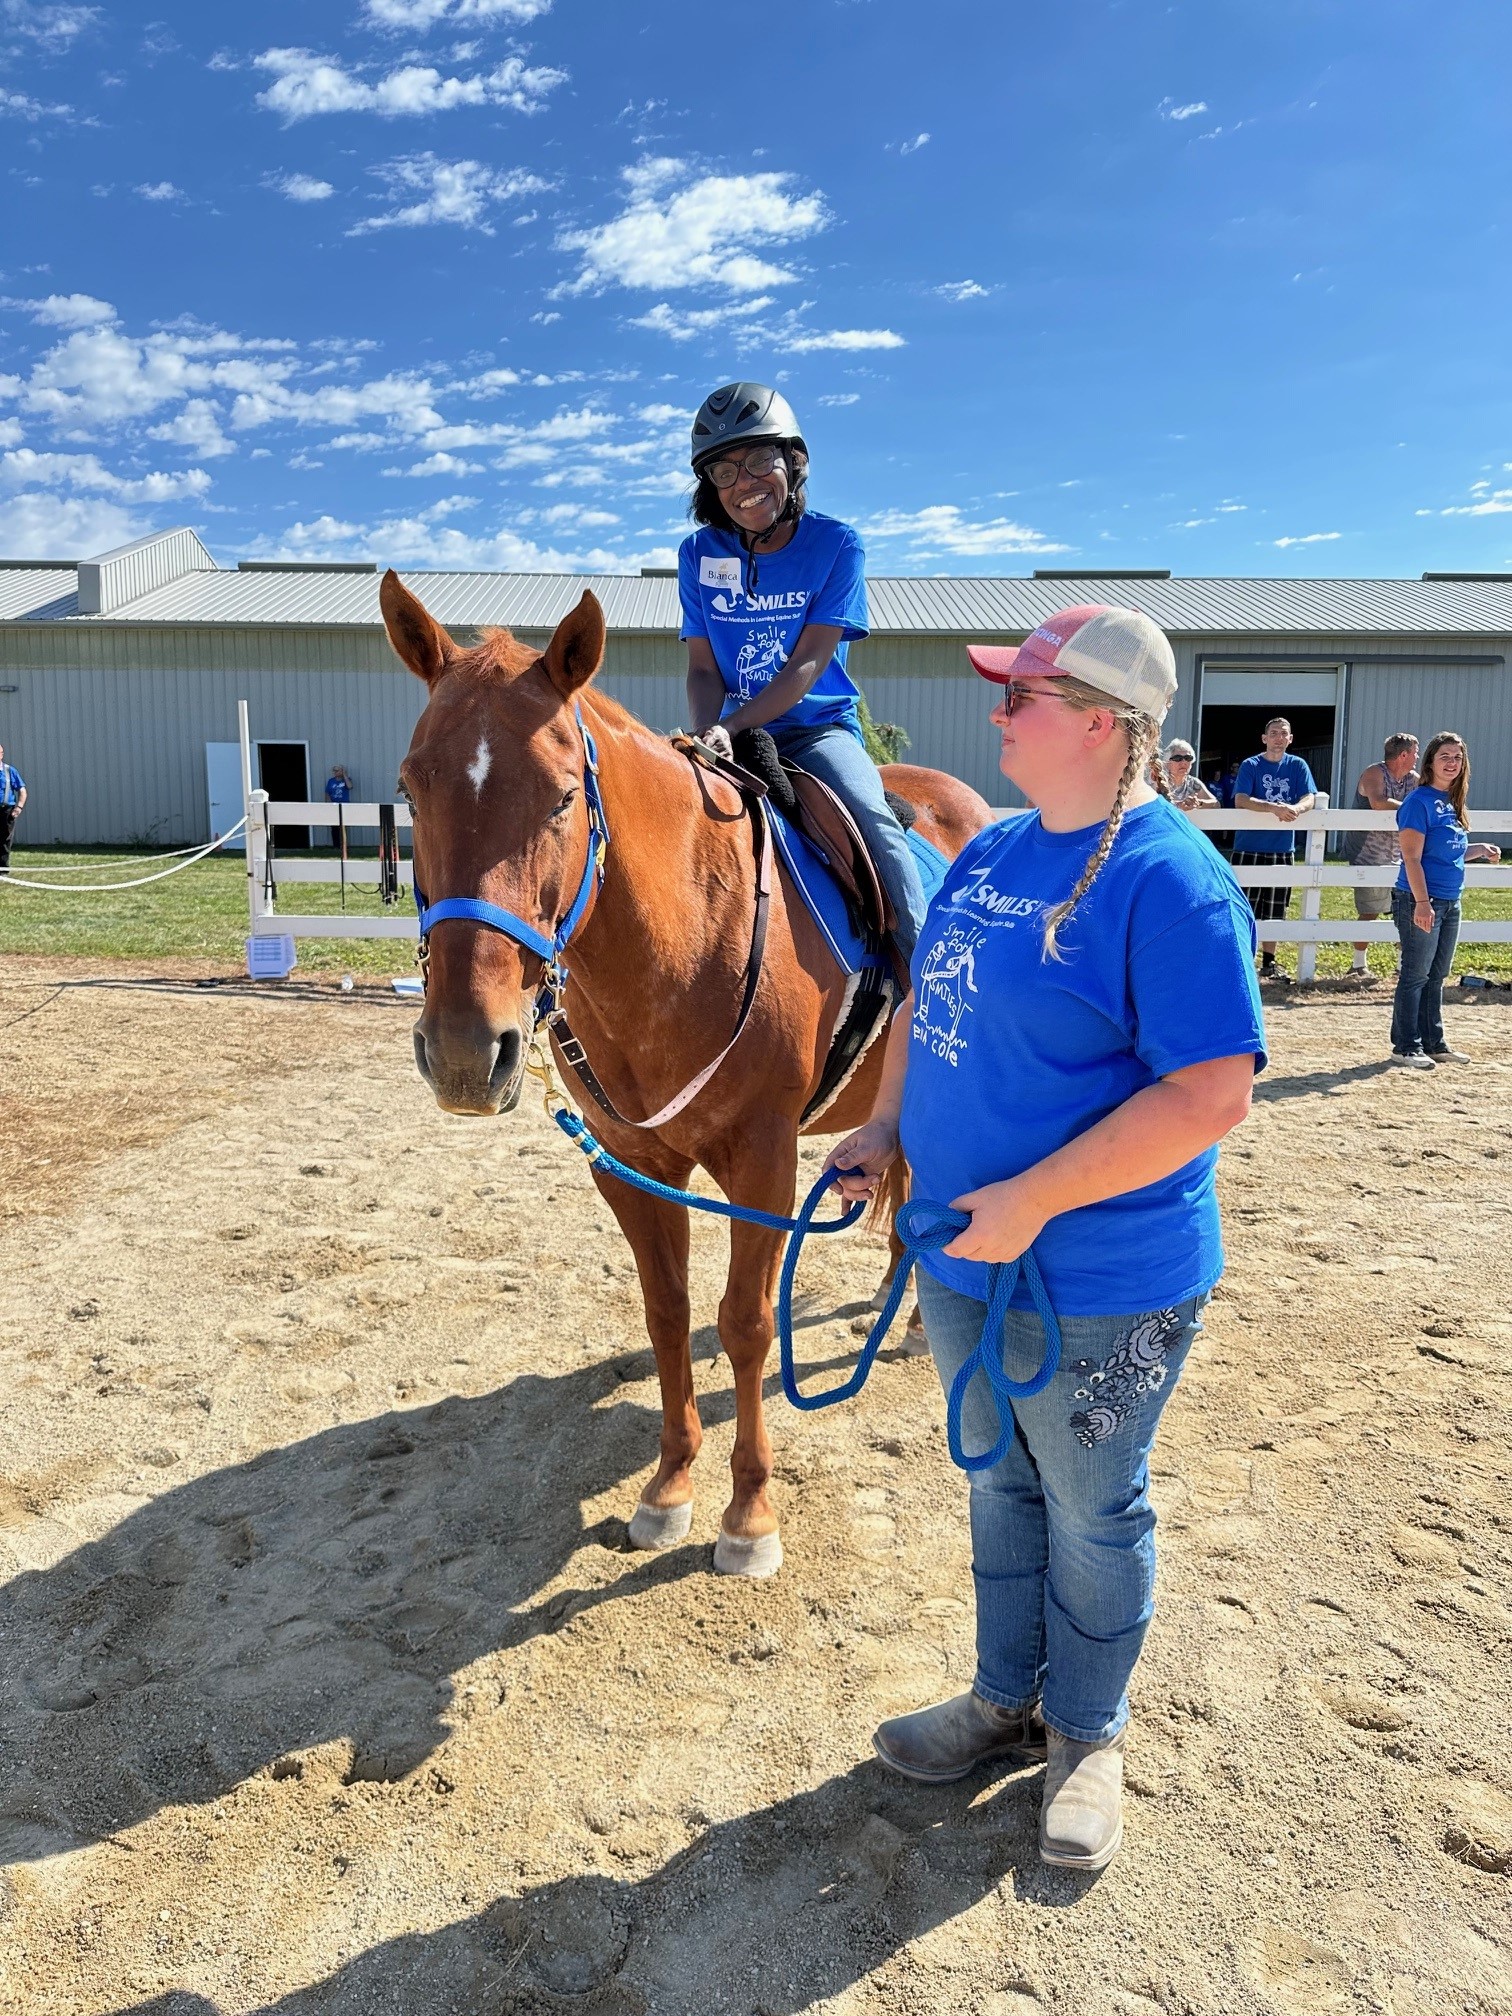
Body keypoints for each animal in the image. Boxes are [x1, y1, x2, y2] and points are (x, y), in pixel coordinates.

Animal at [382, 572, 994, 1576]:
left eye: (561, 797)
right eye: (410, 787)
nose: (470, 1052)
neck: (682, 942)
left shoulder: (764, 1162)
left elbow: (745, 1322)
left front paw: (748, 1515)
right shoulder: (630, 1165)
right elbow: (666, 1313)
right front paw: (669, 1488)